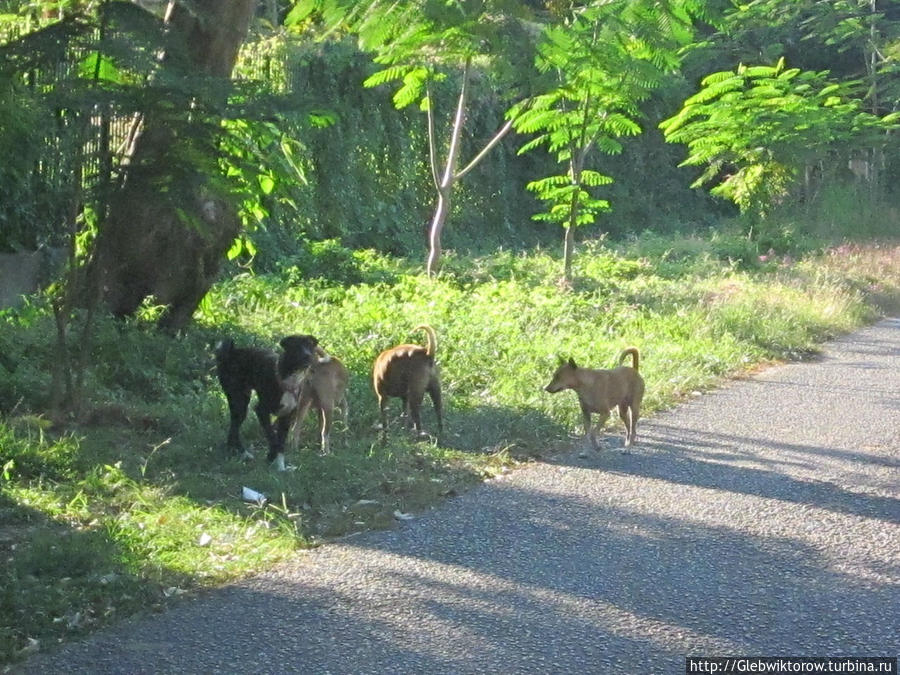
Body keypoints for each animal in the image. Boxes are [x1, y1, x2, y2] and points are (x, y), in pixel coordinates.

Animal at [214, 334, 320, 470]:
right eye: (297, 346)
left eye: (309, 346)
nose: (307, 355)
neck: (288, 379)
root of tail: (231, 353)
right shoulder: (261, 410)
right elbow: (272, 437)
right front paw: (271, 456)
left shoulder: (286, 416)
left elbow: (280, 442)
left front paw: (280, 467)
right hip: (239, 401)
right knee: (234, 429)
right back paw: (243, 454)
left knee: (233, 429)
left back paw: (237, 453)